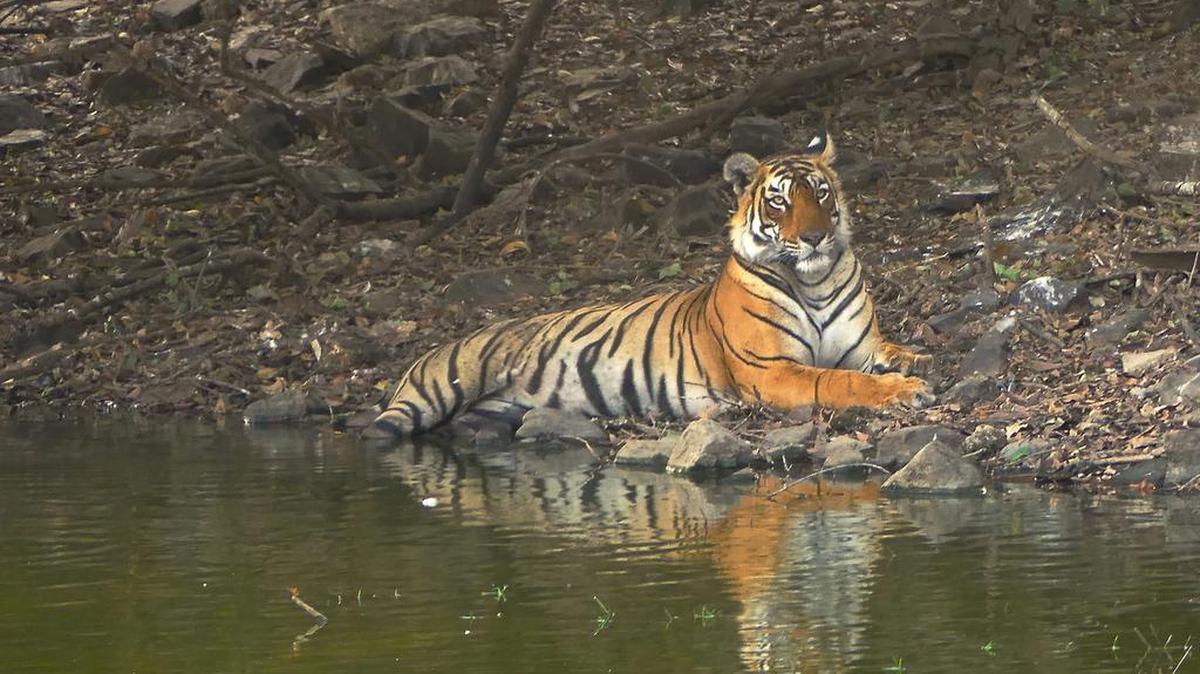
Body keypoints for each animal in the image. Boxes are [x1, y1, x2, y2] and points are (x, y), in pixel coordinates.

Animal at [368, 131, 932, 438]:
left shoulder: (861, 345)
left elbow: (891, 352)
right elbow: (839, 382)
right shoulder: (771, 371)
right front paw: (904, 391)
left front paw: (918, 362)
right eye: (779, 202)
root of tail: (433, 347)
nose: (815, 238)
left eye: (820, 193)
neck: (813, 281)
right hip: (426, 397)